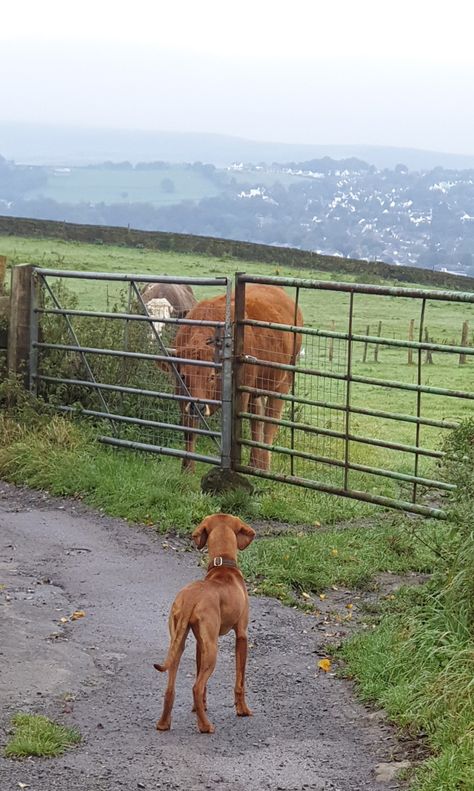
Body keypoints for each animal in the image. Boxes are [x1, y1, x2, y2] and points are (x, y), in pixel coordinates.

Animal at [154, 516, 256, 732]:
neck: (223, 565)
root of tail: (190, 598)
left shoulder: (200, 643)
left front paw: (200, 706)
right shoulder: (242, 635)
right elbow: (240, 680)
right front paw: (242, 710)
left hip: (180, 643)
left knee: (171, 688)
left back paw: (164, 723)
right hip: (213, 649)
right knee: (196, 686)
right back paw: (205, 726)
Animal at [172, 284, 302, 470]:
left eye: (212, 376)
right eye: (183, 376)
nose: (199, 407)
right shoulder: (182, 396)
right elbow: (189, 432)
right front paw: (187, 469)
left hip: (282, 382)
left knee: (269, 423)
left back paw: (263, 465)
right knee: (257, 419)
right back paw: (255, 462)